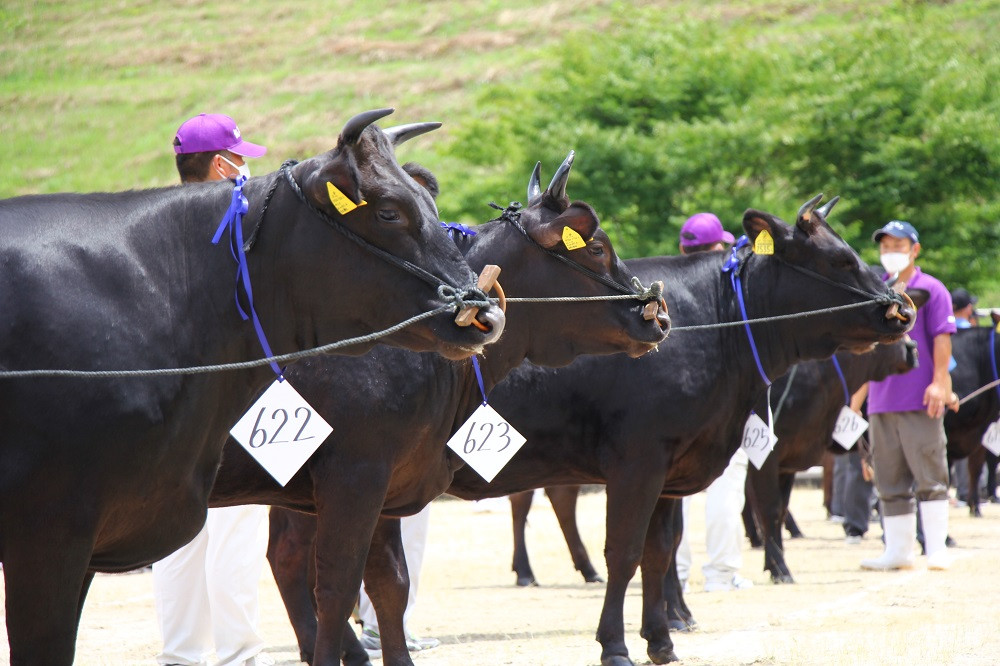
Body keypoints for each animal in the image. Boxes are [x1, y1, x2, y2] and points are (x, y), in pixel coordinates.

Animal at [209, 152, 672, 664]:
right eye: (596, 248)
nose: (659, 316)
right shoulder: (355, 475)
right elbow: (336, 588)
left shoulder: (390, 481)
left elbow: (391, 584)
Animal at [340, 196, 916, 664]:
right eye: (840, 260)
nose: (903, 314)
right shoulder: (639, 460)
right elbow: (626, 551)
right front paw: (616, 646)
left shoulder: (672, 466)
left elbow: (661, 551)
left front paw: (662, 639)